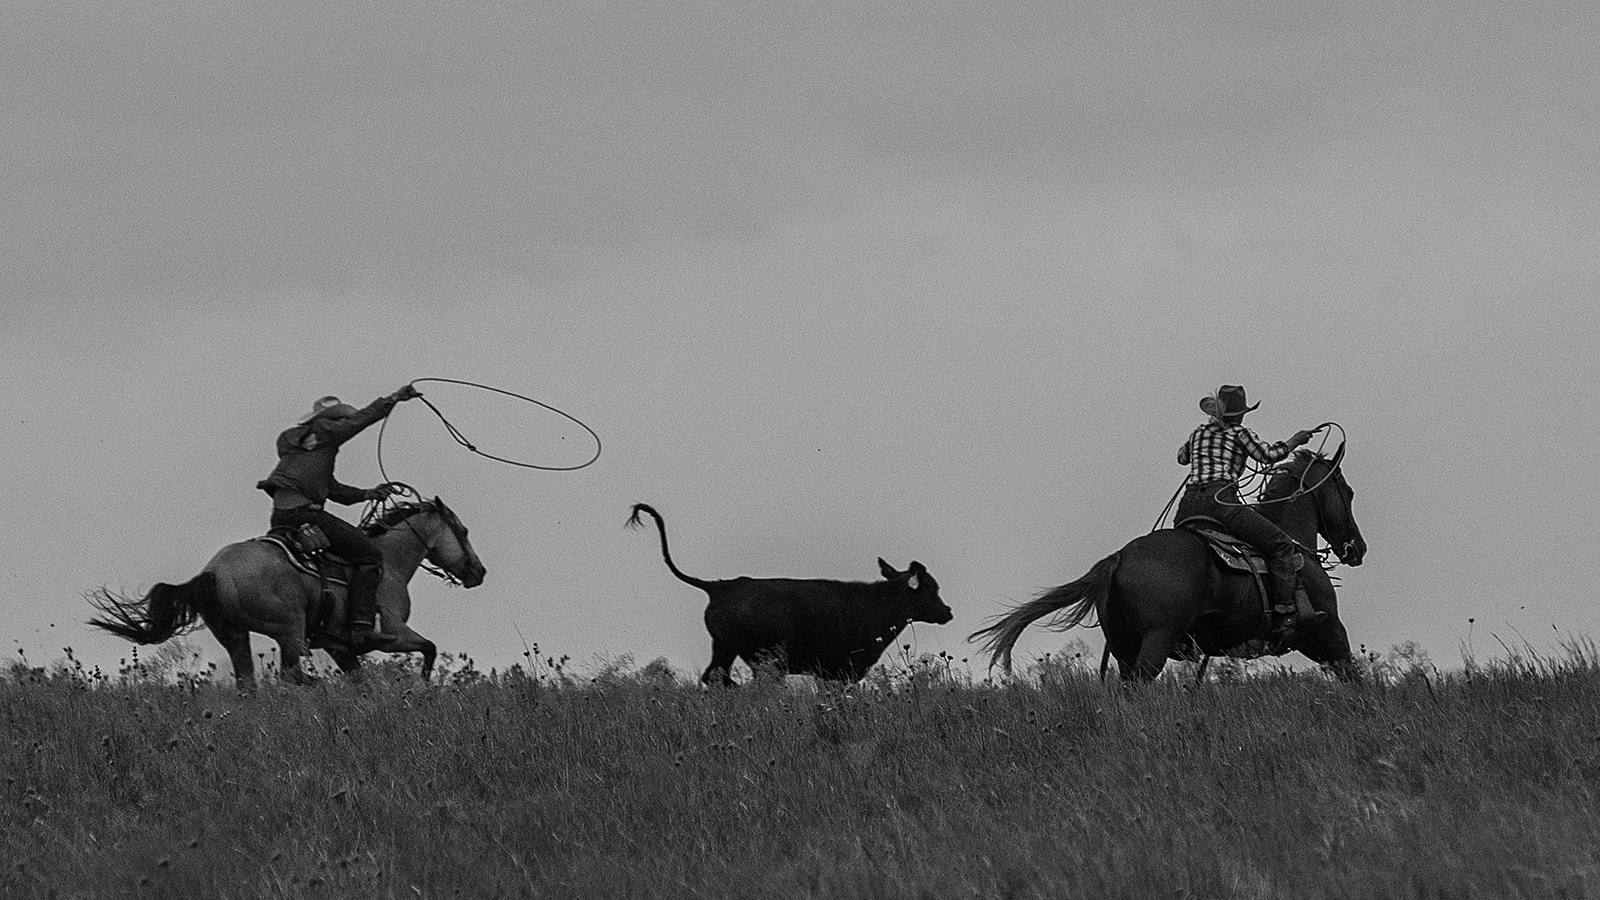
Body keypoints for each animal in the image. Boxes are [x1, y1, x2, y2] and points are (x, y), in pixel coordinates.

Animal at [89, 496, 486, 689]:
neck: (388, 562)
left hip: (235, 636)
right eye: (464, 531)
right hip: (290, 630)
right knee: (290, 676)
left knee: (248, 682)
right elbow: (429, 649)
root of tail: (213, 571)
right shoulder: (390, 635)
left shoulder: (343, 649)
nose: (478, 572)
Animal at [971, 450, 1367, 682]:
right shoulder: (1329, 632)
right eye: (1347, 492)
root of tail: (1119, 556)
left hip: (1124, 645)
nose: (1356, 548)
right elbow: (1355, 676)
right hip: (1156, 641)